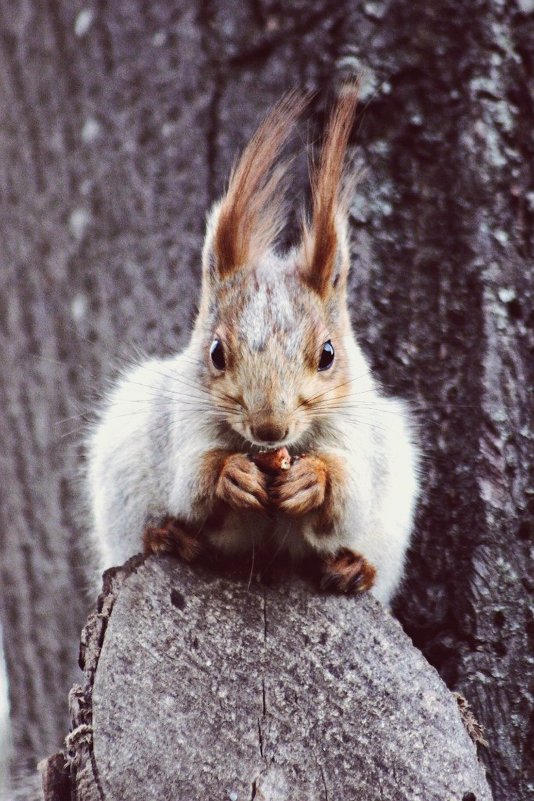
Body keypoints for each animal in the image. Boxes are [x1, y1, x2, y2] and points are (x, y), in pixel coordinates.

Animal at [87, 86, 422, 600]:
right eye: (216, 353)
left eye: (328, 354)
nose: (270, 429)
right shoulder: (187, 422)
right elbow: (193, 479)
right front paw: (231, 474)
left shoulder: (353, 428)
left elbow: (349, 494)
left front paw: (312, 480)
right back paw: (169, 535)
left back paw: (353, 568)